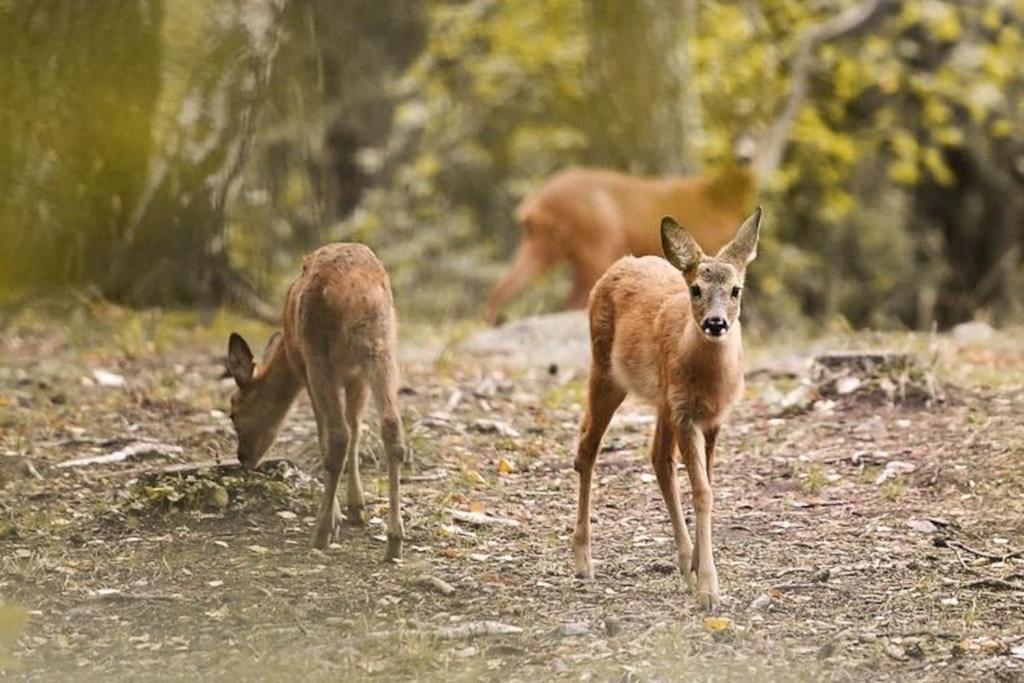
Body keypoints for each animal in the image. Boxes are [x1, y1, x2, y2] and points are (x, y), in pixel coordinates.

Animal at [226, 244, 405, 561]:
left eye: (234, 412)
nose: (242, 457)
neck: (286, 348)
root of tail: (356, 291)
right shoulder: (355, 376)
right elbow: (357, 428)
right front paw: (356, 508)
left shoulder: (306, 369)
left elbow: (328, 433)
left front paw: (338, 516)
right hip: (381, 346)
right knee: (390, 425)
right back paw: (395, 541)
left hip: (318, 352)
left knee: (337, 435)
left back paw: (321, 532)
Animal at [573, 205, 765, 610]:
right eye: (696, 289)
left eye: (736, 289)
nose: (715, 323)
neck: (708, 379)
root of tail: (618, 265)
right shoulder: (685, 413)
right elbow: (702, 491)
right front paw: (709, 589)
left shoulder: (713, 418)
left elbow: (707, 483)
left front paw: (699, 571)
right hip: (606, 371)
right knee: (587, 449)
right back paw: (583, 561)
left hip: (661, 400)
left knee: (658, 458)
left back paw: (683, 562)